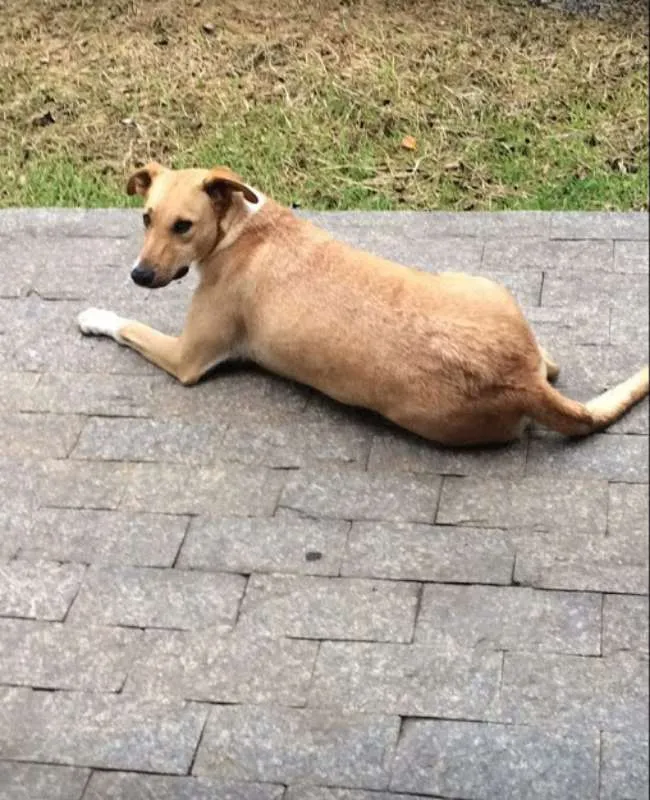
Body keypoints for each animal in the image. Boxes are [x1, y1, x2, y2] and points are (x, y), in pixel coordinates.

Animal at [78, 162, 644, 446]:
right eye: (145, 218)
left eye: (184, 226)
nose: (138, 274)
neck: (241, 226)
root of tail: (522, 380)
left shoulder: (186, 358)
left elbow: (126, 324)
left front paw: (94, 315)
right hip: (483, 286)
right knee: (554, 361)